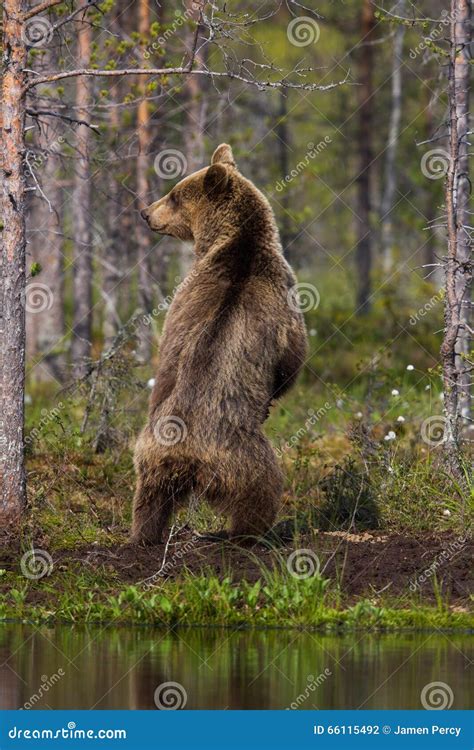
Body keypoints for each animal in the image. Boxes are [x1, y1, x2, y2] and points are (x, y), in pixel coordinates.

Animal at [131, 144, 308, 544]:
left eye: (174, 195)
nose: (146, 212)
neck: (235, 240)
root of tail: (187, 455)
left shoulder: (182, 305)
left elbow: (166, 361)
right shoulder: (284, 297)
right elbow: (293, 358)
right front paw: (275, 393)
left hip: (148, 454)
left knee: (148, 499)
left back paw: (143, 535)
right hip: (246, 459)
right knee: (261, 493)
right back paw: (253, 533)